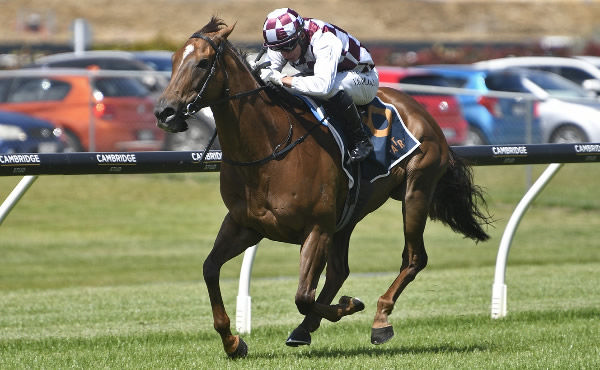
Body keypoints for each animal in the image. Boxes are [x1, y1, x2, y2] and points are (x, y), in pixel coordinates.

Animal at [155, 18, 492, 358]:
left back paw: (380, 319)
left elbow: (303, 296)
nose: (165, 112)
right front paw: (233, 341)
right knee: (339, 270)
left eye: (203, 62)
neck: (271, 148)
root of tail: (420, 110)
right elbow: (210, 268)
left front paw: (350, 304)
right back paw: (305, 329)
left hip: (416, 191)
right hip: (348, 215)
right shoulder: (245, 225)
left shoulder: (316, 228)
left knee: (413, 258)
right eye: (173, 60)